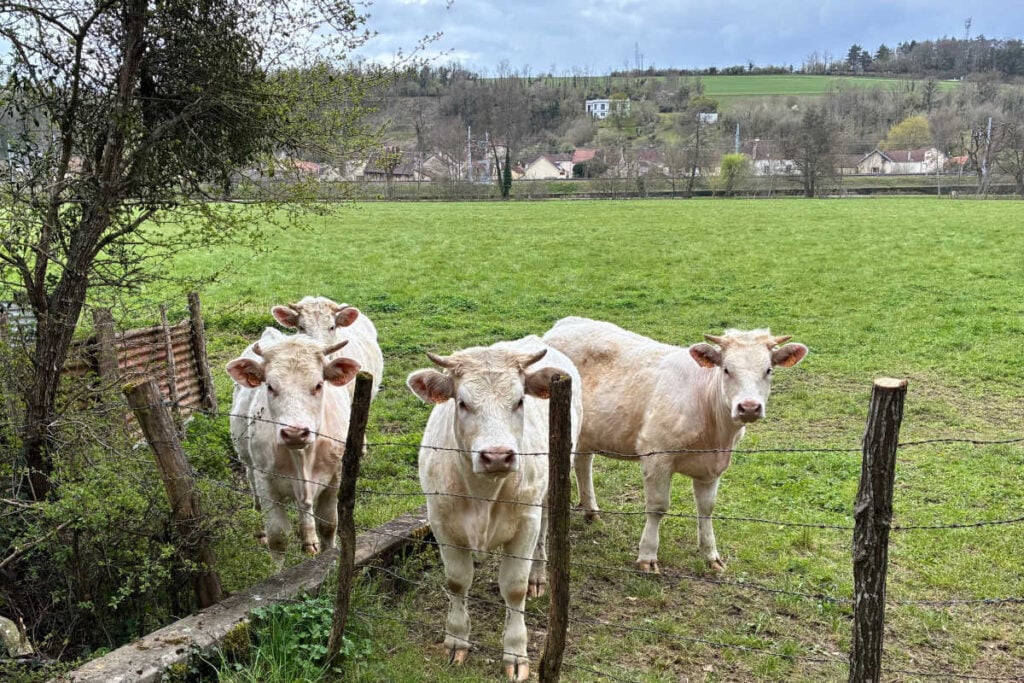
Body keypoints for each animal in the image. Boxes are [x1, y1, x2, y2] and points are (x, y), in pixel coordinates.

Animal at [227, 327, 360, 567]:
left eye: (318, 384)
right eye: (270, 386)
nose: (295, 432)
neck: (302, 455)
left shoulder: (335, 476)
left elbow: (328, 524)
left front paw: (327, 560)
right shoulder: (265, 480)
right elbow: (278, 536)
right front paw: (279, 573)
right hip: (248, 460)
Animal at [407, 336, 582, 681]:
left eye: (519, 400)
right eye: (462, 403)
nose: (498, 456)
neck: (483, 494)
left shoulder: (525, 523)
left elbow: (513, 588)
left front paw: (515, 653)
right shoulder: (441, 521)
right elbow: (457, 580)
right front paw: (456, 641)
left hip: (548, 490)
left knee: (544, 532)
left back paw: (538, 577)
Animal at [544, 317, 807, 574]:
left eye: (768, 370)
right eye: (726, 369)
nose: (749, 407)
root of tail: (562, 324)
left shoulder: (713, 465)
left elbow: (706, 508)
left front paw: (711, 555)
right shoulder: (656, 454)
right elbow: (658, 507)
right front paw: (647, 556)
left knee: (583, 461)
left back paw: (592, 511)